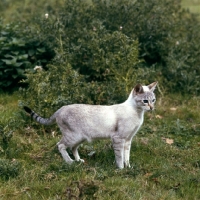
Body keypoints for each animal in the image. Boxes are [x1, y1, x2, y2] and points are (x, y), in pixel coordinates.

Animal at [23, 81, 157, 169]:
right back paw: (70, 162)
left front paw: (128, 167)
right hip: (73, 137)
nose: (152, 108)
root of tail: (60, 109)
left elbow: (126, 156)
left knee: (73, 148)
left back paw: (78, 160)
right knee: (60, 145)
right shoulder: (119, 138)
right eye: (145, 101)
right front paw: (121, 170)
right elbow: (120, 157)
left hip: (80, 138)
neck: (138, 113)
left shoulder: (128, 140)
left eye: (153, 100)